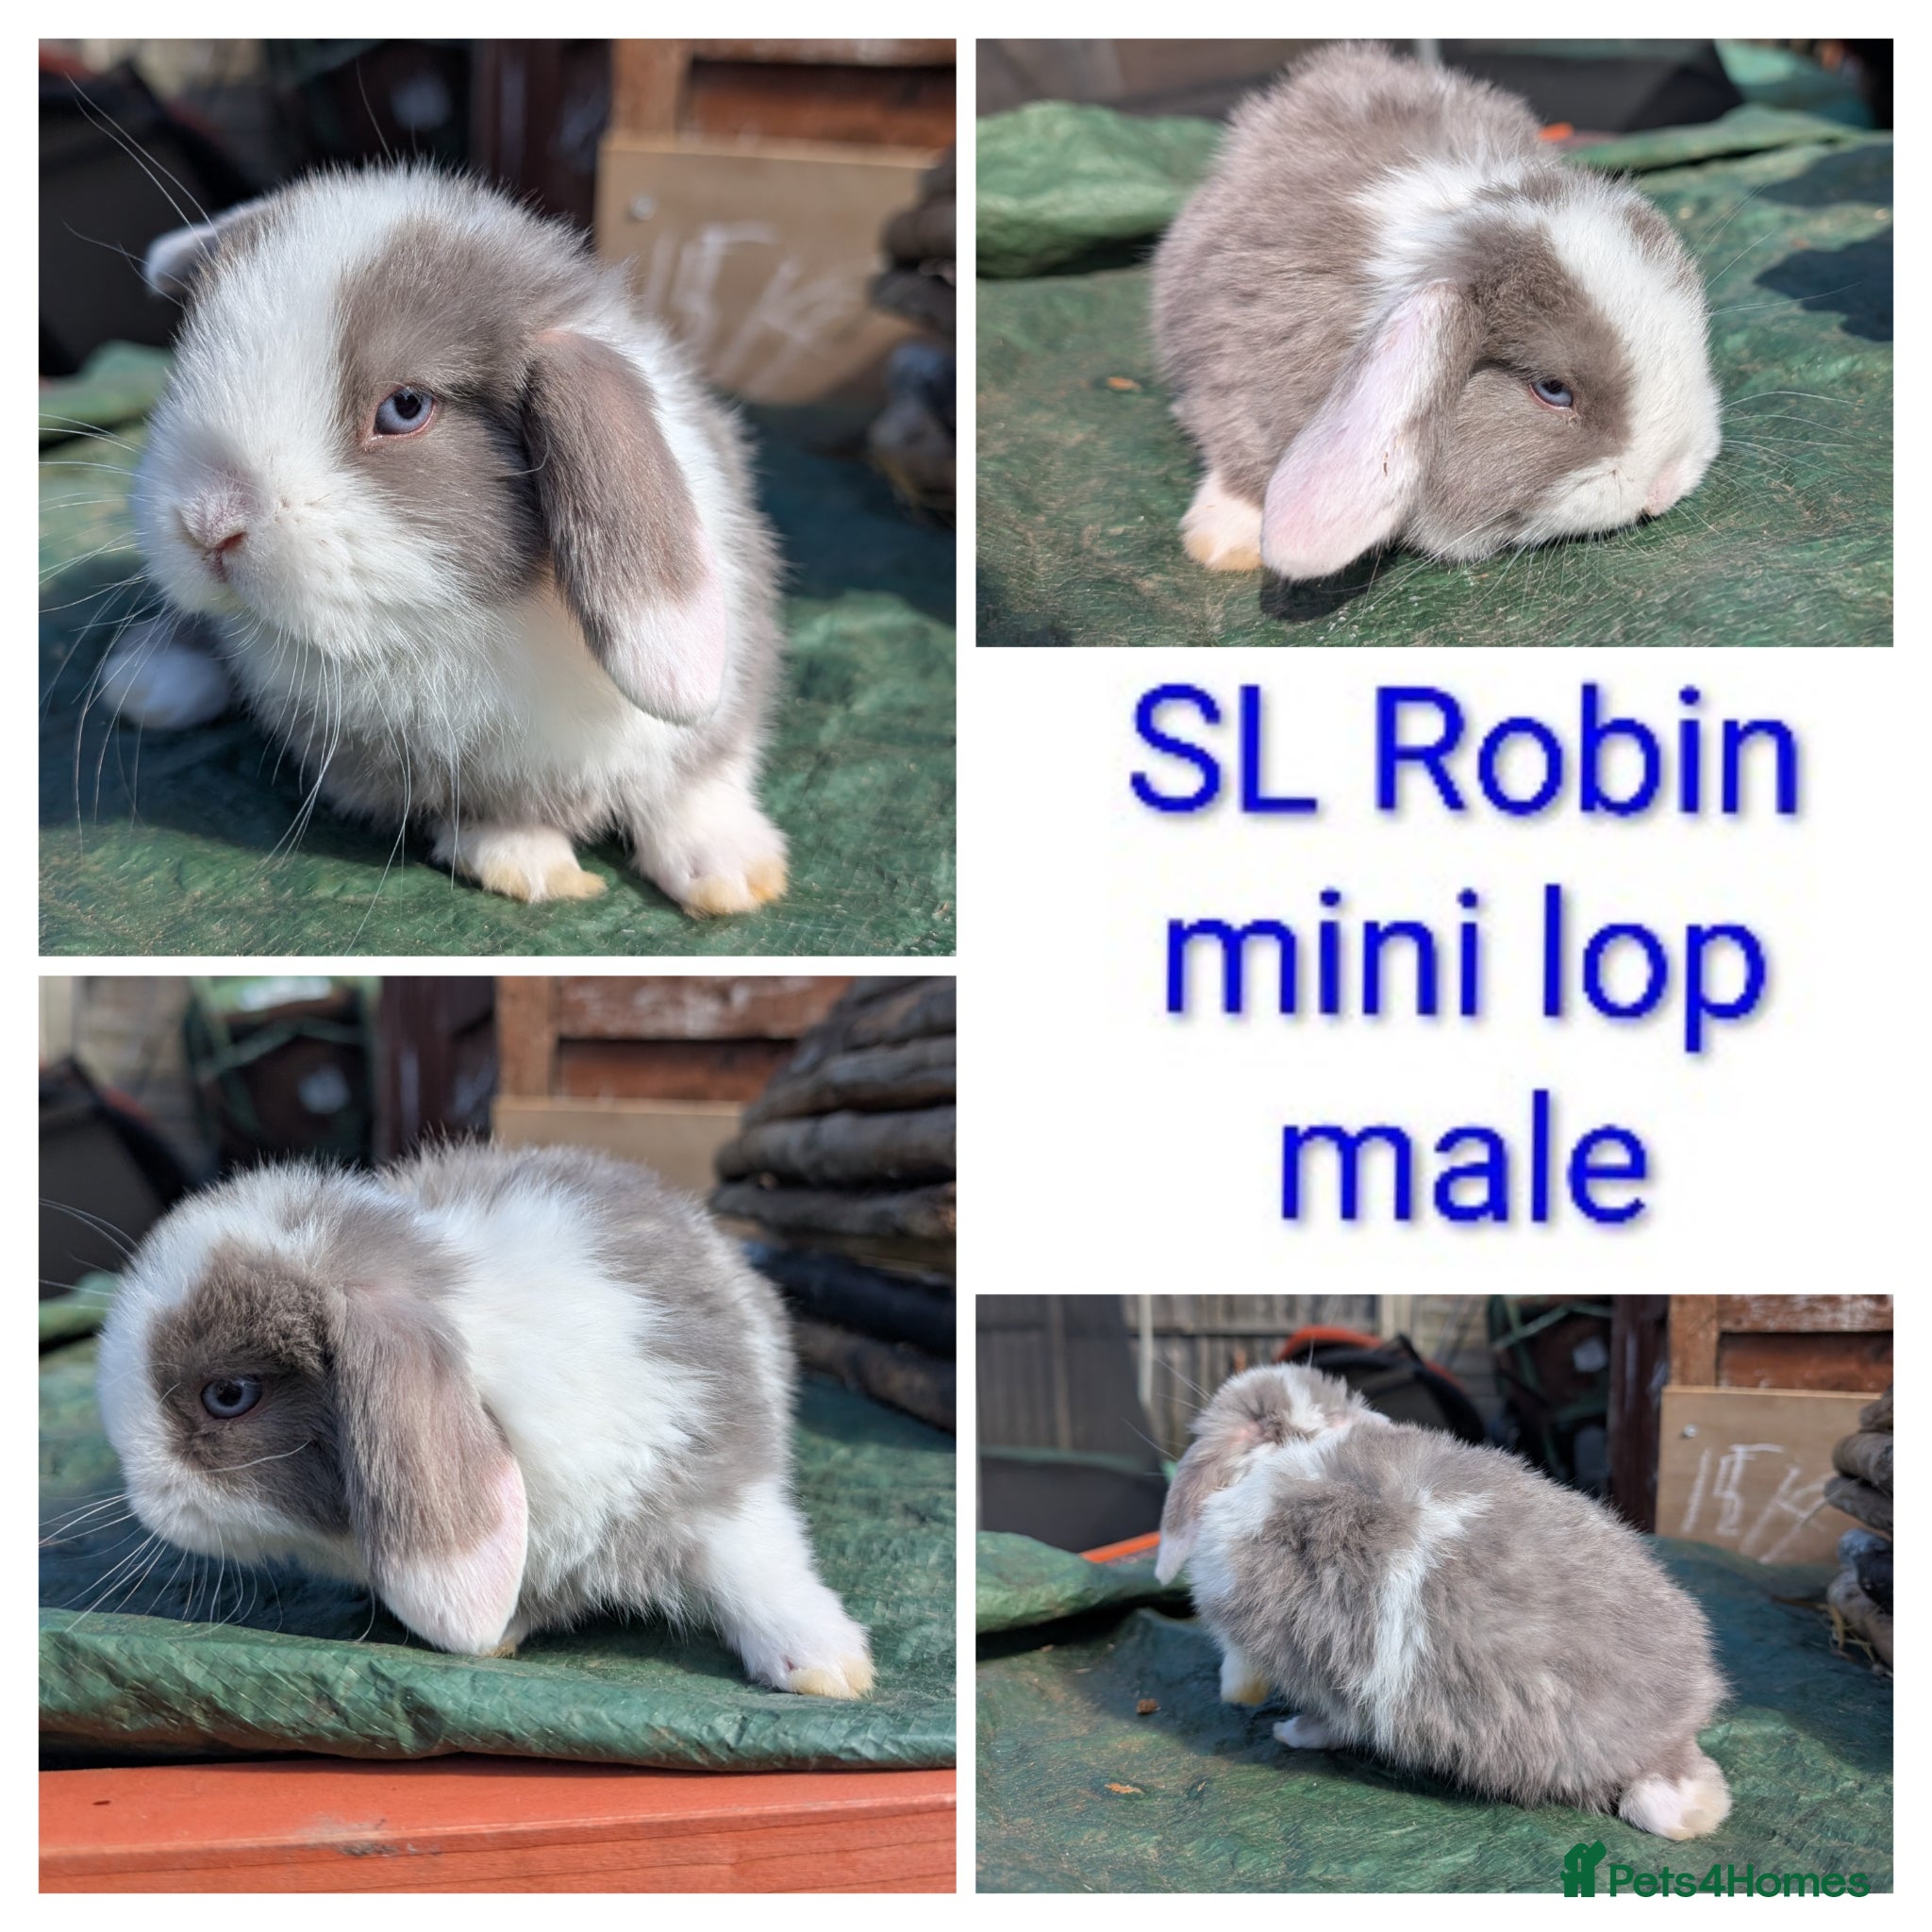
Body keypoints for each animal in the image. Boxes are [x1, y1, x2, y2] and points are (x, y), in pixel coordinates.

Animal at [93, 1142, 874, 1697]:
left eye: (229, 1395)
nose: (139, 1495)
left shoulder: (709, 1464)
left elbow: (759, 1566)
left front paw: (830, 1669)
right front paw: (500, 1633)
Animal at [105, 163, 786, 914]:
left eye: (406, 408)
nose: (208, 526)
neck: (468, 622)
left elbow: (699, 783)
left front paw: (732, 873)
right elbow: (493, 818)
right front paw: (530, 866)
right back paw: (145, 683)